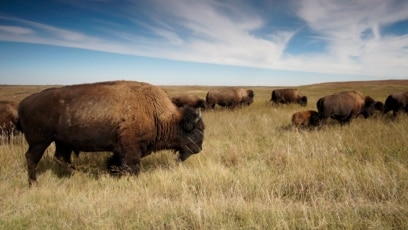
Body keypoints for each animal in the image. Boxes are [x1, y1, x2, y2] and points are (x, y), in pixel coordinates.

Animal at [17, 80, 206, 186]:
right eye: (196, 130)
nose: (199, 149)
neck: (154, 112)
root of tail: (23, 103)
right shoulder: (131, 149)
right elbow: (132, 167)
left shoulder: (120, 150)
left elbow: (115, 163)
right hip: (40, 141)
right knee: (32, 158)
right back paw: (34, 183)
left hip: (62, 142)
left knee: (60, 158)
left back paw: (77, 174)